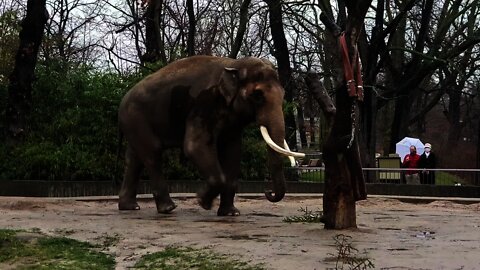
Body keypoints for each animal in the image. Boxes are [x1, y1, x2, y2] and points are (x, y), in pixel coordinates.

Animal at [117, 54, 304, 215]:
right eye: (257, 96)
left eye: (283, 95)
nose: (268, 191)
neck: (234, 64)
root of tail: (124, 98)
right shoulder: (203, 104)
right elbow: (194, 146)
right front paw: (203, 202)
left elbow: (233, 151)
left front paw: (231, 213)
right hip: (136, 118)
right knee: (152, 154)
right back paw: (168, 208)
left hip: (134, 123)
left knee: (134, 159)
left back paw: (130, 207)